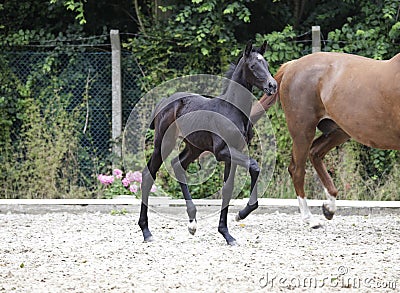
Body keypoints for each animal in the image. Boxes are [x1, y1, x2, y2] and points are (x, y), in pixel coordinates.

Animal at [252, 51, 398, 227]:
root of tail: (292, 66)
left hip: (339, 130)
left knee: (315, 152)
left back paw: (329, 207)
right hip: (303, 131)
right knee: (297, 170)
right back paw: (310, 218)